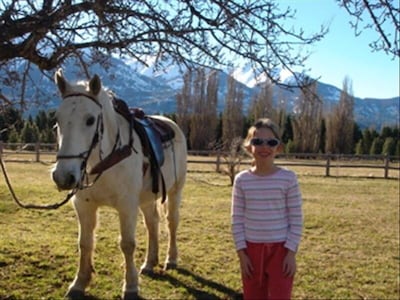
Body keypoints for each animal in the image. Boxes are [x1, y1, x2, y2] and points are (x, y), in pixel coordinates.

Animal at [51, 69, 188, 298]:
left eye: (90, 120)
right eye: (57, 120)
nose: (63, 176)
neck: (103, 162)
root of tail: (172, 125)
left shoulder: (126, 206)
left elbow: (127, 244)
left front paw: (131, 286)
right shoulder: (84, 207)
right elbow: (85, 243)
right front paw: (79, 283)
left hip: (175, 190)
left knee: (172, 222)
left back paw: (171, 259)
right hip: (146, 198)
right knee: (152, 223)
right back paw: (150, 263)